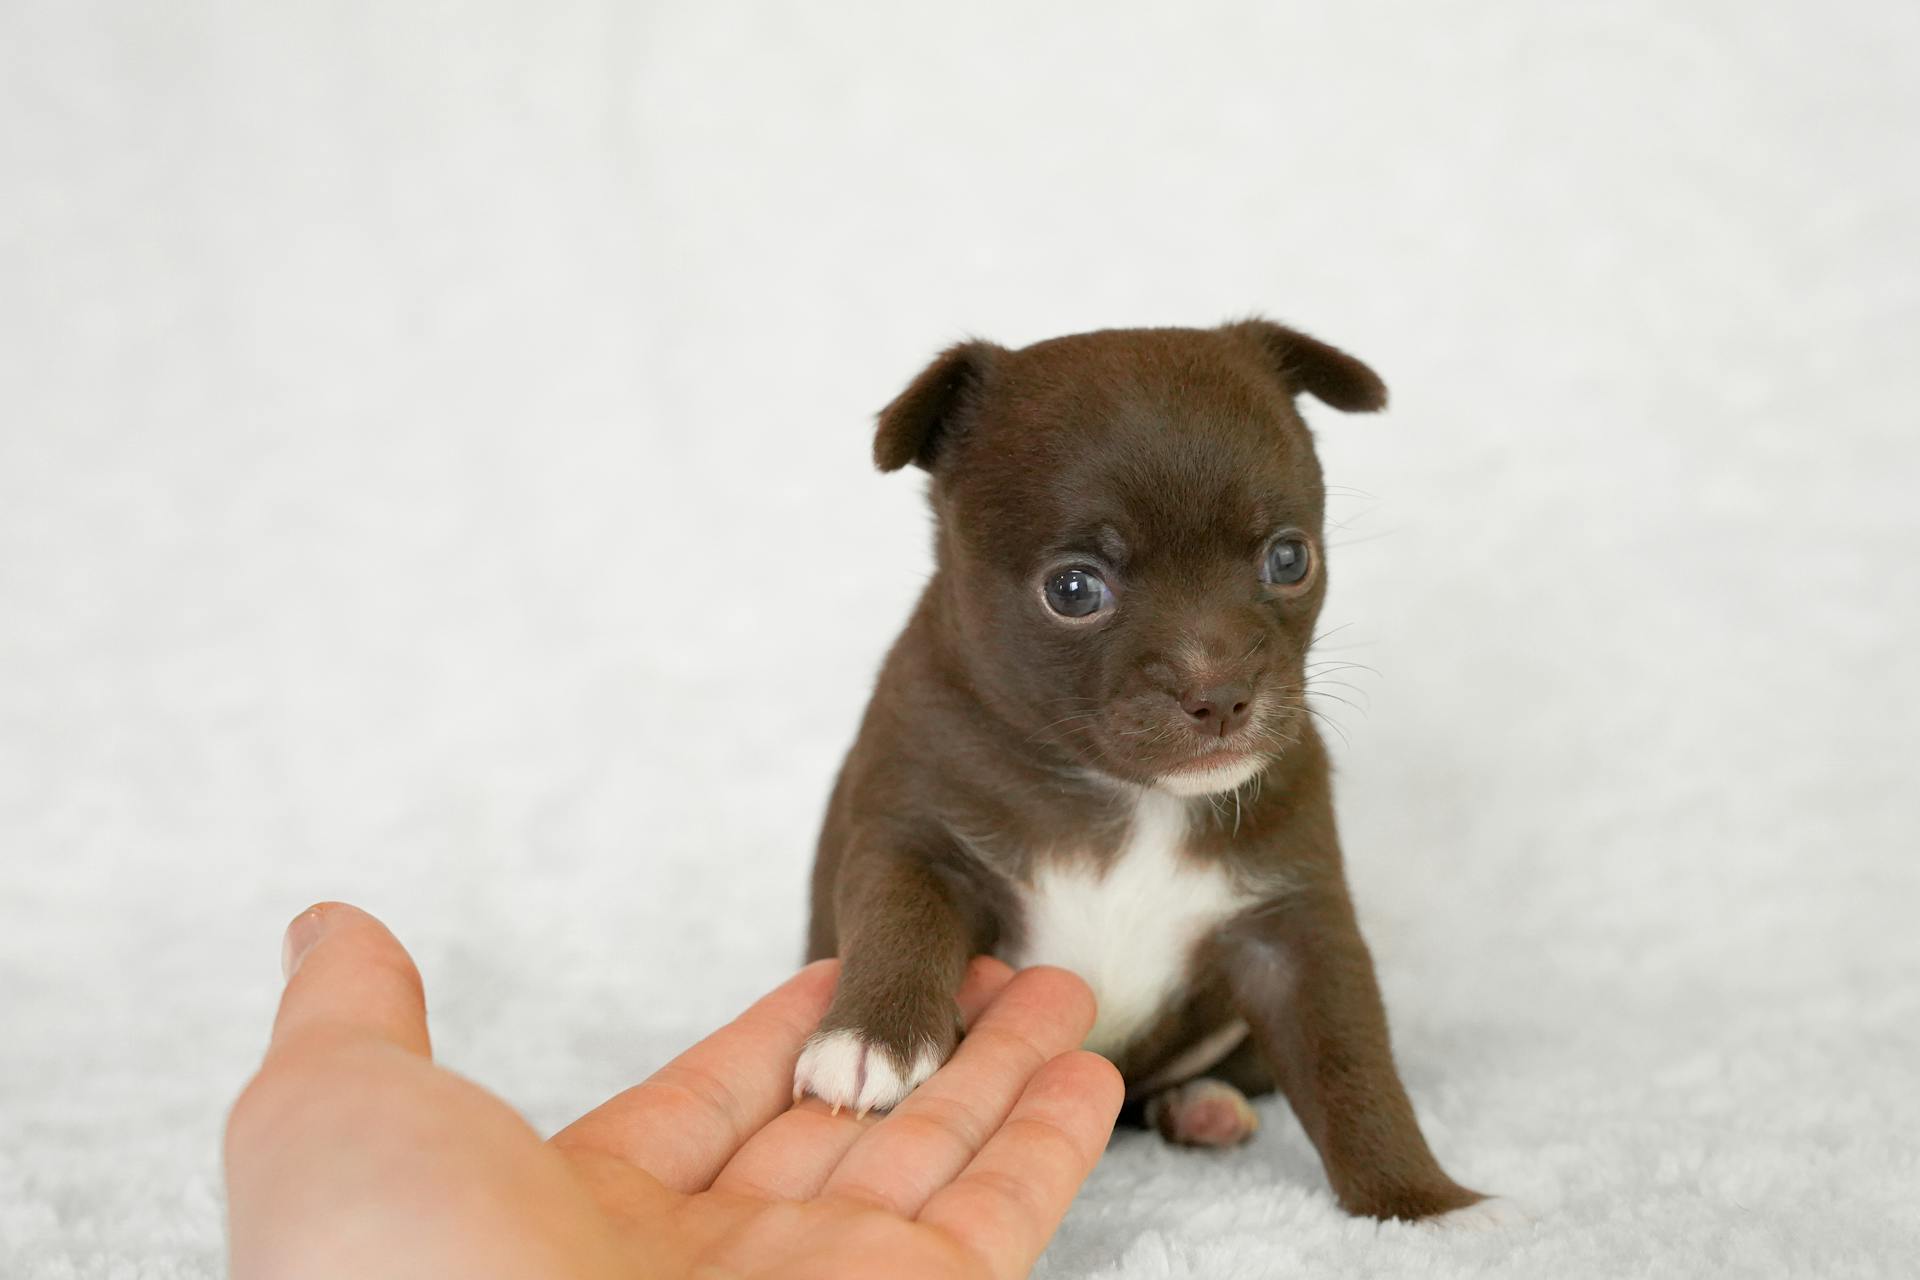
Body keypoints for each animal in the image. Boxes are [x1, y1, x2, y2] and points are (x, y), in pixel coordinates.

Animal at [802, 318, 1489, 1220]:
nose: (1221, 693)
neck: (1128, 797)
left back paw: (1200, 1106)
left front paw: (1425, 1207)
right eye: (1072, 589)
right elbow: (899, 913)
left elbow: (1352, 1065)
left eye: (1289, 559)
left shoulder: (1292, 928)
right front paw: (869, 1038)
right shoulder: (914, 833)